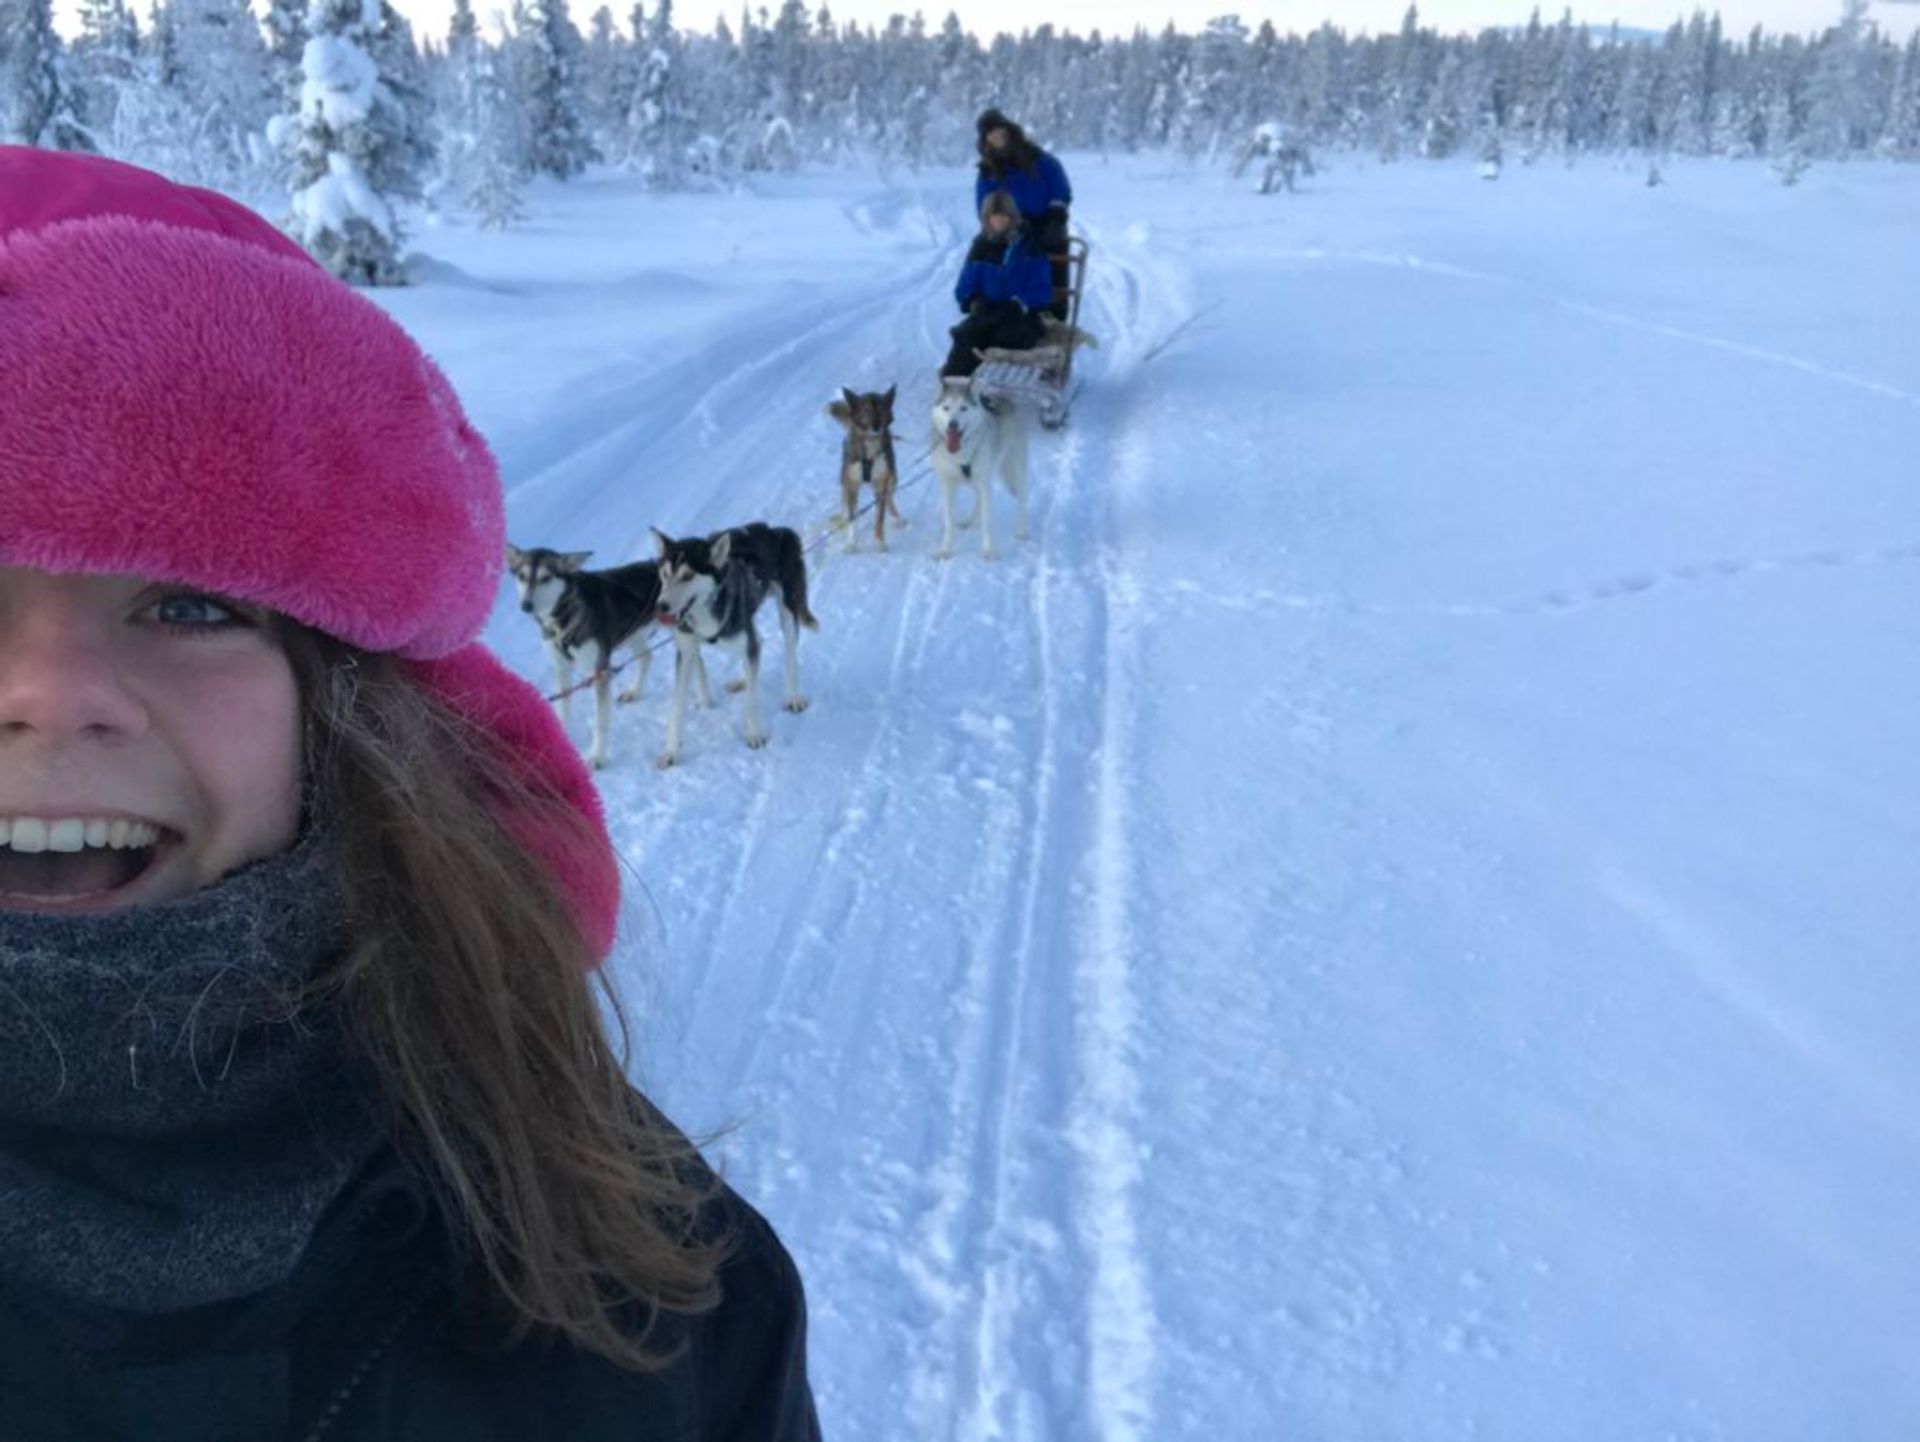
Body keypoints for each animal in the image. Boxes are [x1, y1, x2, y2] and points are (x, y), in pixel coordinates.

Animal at [829, 385, 902, 549]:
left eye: (881, 409)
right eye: (866, 410)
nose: (876, 426)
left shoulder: (881, 483)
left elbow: (880, 517)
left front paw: (879, 542)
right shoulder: (851, 484)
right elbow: (852, 517)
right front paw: (851, 544)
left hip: (892, 477)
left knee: (889, 499)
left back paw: (897, 519)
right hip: (844, 478)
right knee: (845, 502)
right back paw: (842, 517)